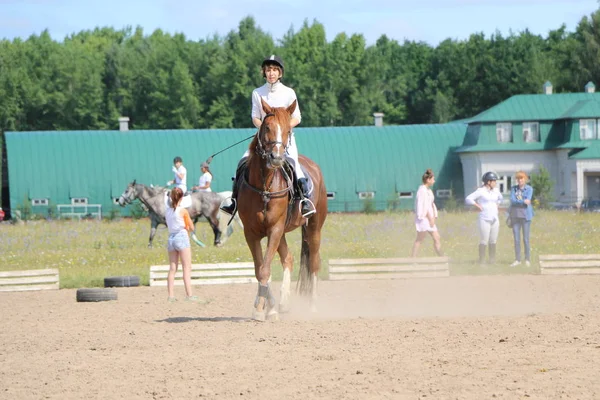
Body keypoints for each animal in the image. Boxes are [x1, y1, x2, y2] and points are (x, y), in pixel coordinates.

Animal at [237, 97, 326, 322]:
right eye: (267, 127)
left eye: (288, 130)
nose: (276, 157)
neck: (264, 186)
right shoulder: (252, 233)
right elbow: (260, 268)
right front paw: (265, 307)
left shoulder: (275, 229)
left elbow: (265, 268)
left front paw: (265, 309)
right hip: (283, 232)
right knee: (289, 259)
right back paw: (284, 302)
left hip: (313, 227)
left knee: (314, 262)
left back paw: (313, 307)